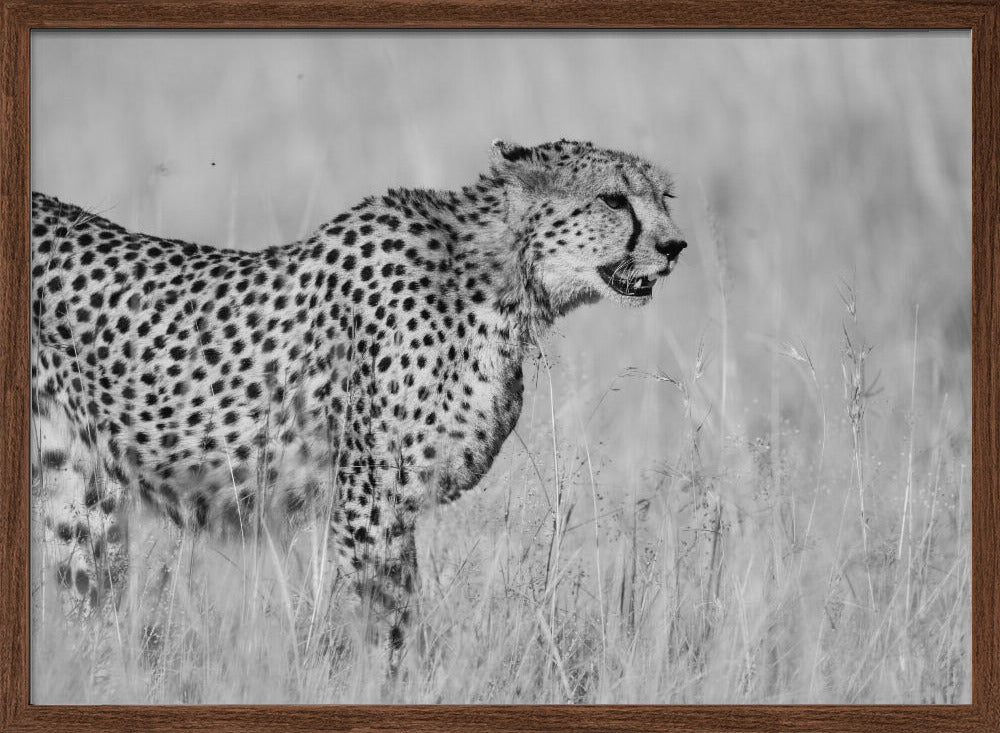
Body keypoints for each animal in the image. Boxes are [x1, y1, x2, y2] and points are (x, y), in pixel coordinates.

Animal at [30, 139, 687, 666]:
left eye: (663, 196)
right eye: (613, 200)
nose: (675, 245)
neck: (497, 278)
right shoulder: (370, 499)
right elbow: (389, 623)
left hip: (77, 492)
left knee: (85, 598)